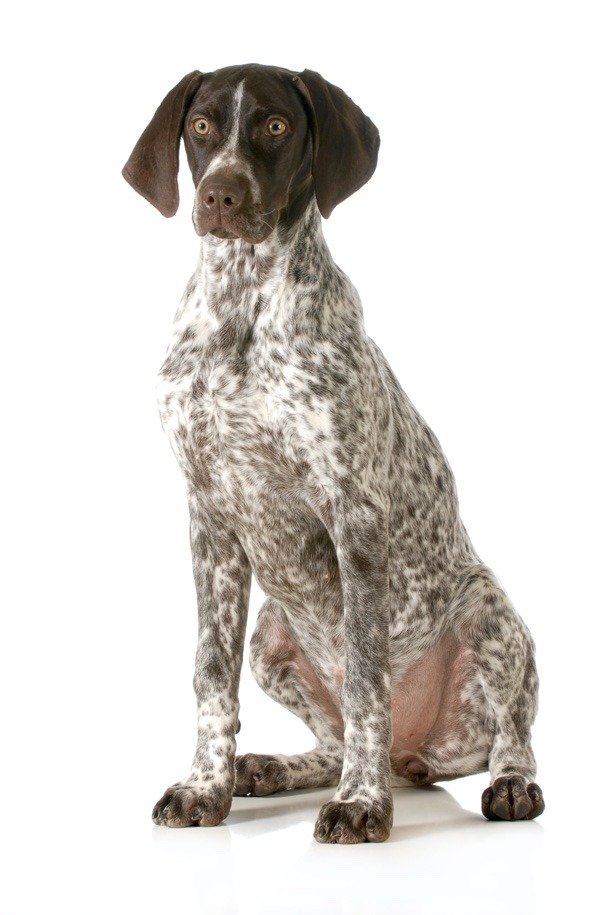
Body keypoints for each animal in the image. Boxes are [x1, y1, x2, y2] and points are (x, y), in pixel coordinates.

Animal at [122, 64, 544, 844]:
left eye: (276, 125)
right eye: (200, 127)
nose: (220, 194)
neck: (243, 305)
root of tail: (417, 753)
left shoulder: (355, 518)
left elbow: (367, 679)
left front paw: (361, 803)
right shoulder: (210, 521)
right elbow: (209, 673)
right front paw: (205, 787)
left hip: (489, 613)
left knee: (509, 732)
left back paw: (506, 784)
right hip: (269, 634)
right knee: (333, 733)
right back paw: (276, 767)